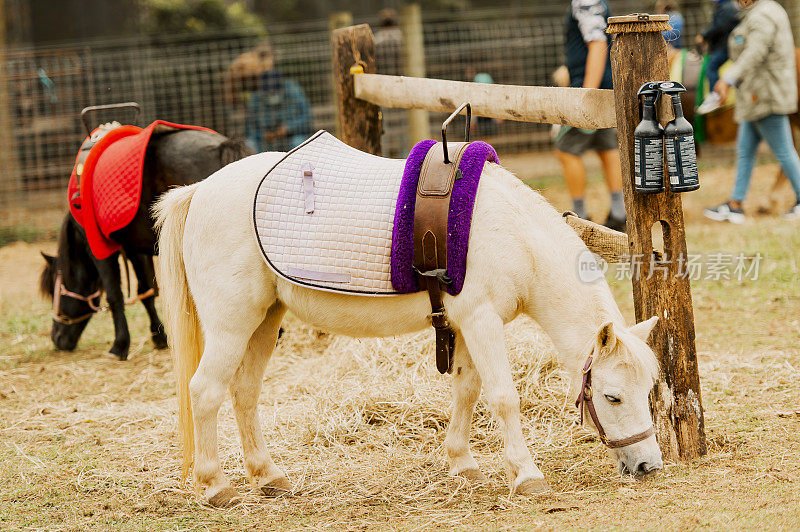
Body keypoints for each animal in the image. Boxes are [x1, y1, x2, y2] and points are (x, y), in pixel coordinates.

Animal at [39, 128, 253, 360]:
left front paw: (119, 345)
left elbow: (114, 295)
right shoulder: (136, 249)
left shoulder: (100, 250)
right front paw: (159, 337)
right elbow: (147, 292)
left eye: (54, 290)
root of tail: (223, 146)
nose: (57, 338)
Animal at [155, 151, 664, 508]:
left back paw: (267, 476)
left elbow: (467, 390)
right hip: (231, 324)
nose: (647, 465)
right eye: (612, 396)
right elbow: (503, 397)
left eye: (650, 390)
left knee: (243, 392)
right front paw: (527, 475)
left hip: (264, 320)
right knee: (204, 391)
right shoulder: (482, 321)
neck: (514, 235)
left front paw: (462, 463)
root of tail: (199, 191)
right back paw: (216, 485)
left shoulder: (464, 324)